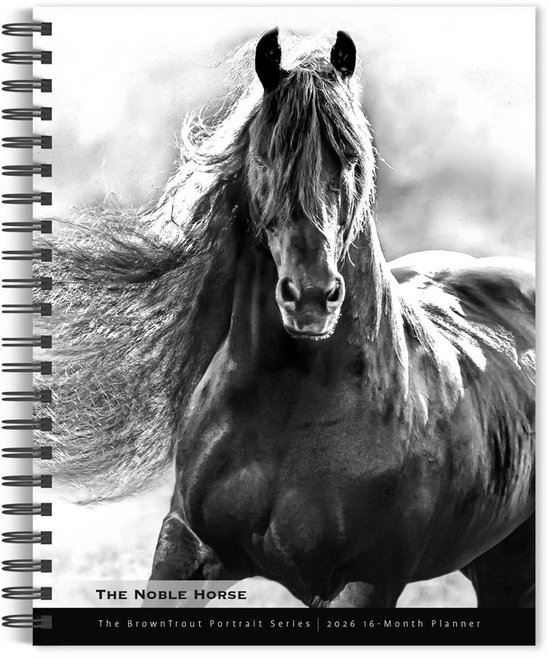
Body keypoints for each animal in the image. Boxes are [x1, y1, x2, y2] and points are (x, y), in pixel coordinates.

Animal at [40, 28, 535, 608]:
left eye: (351, 158)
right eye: (268, 154)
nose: (313, 297)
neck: (290, 409)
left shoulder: (364, 579)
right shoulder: (188, 545)